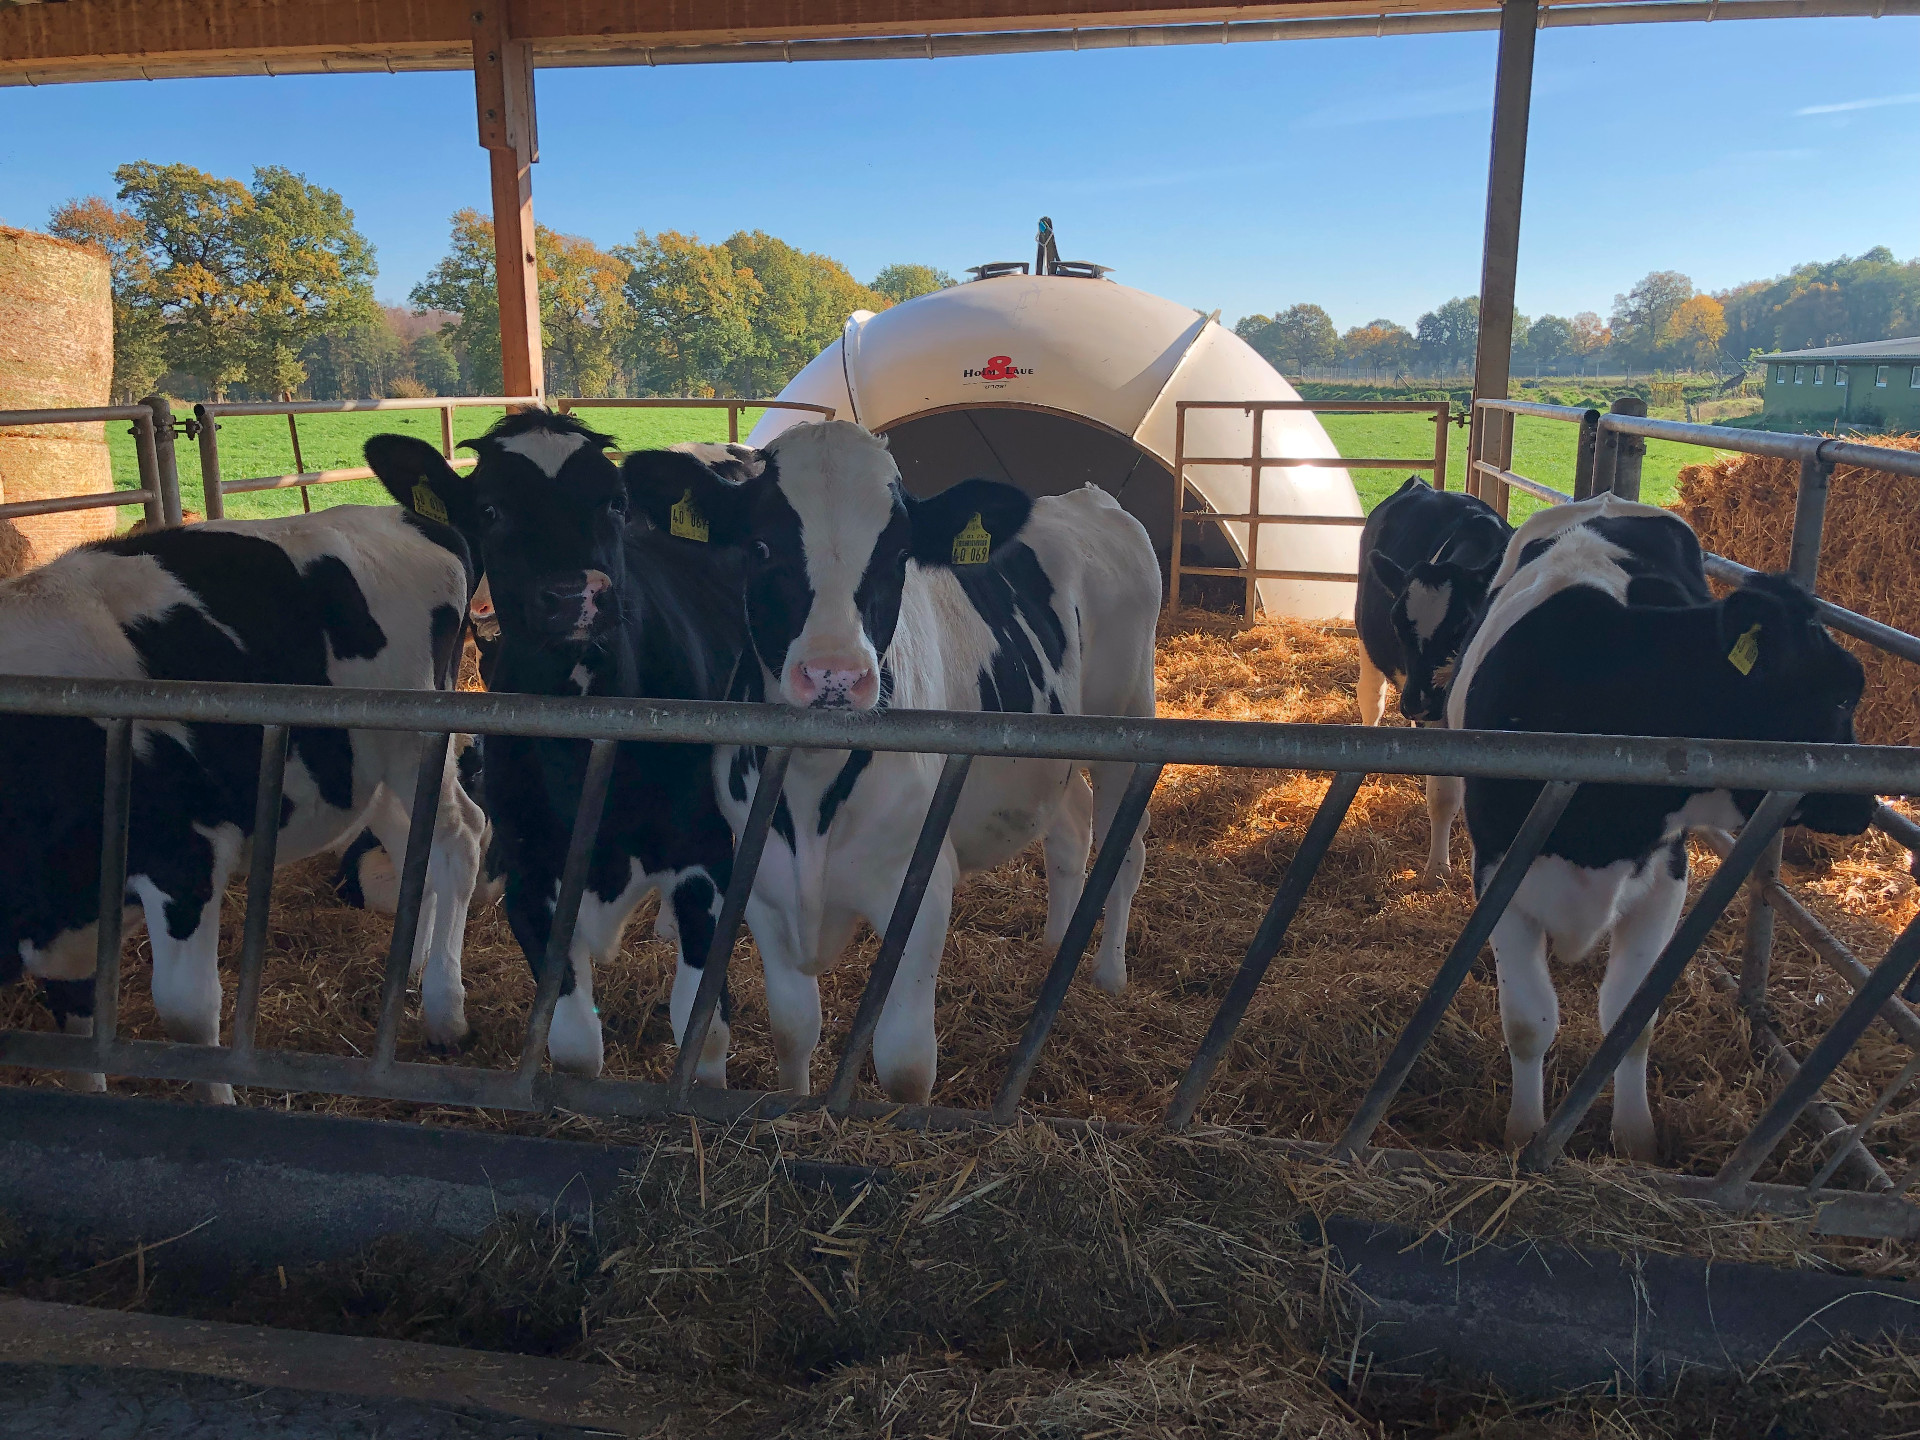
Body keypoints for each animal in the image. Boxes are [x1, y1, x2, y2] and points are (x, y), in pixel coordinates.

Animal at [0, 514, 487, 1098]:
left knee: (460, 839)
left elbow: (187, 1012)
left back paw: (446, 1014)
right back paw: (410, 972)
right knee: (417, 853)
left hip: (418, 743)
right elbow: (76, 1027)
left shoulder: (186, 855)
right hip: (369, 773)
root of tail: (416, 521)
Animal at [368, 410, 748, 1075]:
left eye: (615, 502)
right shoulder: (530, 878)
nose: (575, 594)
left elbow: (703, 1030)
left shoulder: (703, 853)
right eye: (491, 509)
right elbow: (573, 1045)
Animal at [629, 416, 1159, 1105]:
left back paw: (1110, 971)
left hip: (1128, 717)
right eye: (761, 546)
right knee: (1071, 826)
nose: (833, 674)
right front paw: (797, 1098)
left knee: (1128, 844)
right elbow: (793, 1028)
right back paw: (1051, 948)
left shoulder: (921, 887)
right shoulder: (765, 888)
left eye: (898, 555)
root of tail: (1089, 499)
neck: (812, 794)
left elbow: (905, 1063)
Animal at [1351, 480, 1512, 887]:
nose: (1415, 703)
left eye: (1462, 626)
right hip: (1367, 645)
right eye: (1397, 625)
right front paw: (1437, 869)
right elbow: (1442, 796)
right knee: (1371, 702)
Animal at [1443, 495, 1866, 1159]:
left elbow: (1629, 1019)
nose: (1868, 805)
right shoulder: (1499, 875)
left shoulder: (1666, 875)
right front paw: (1523, 1133)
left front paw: (1636, 1139)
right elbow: (1528, 1022)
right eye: (1844, 696)